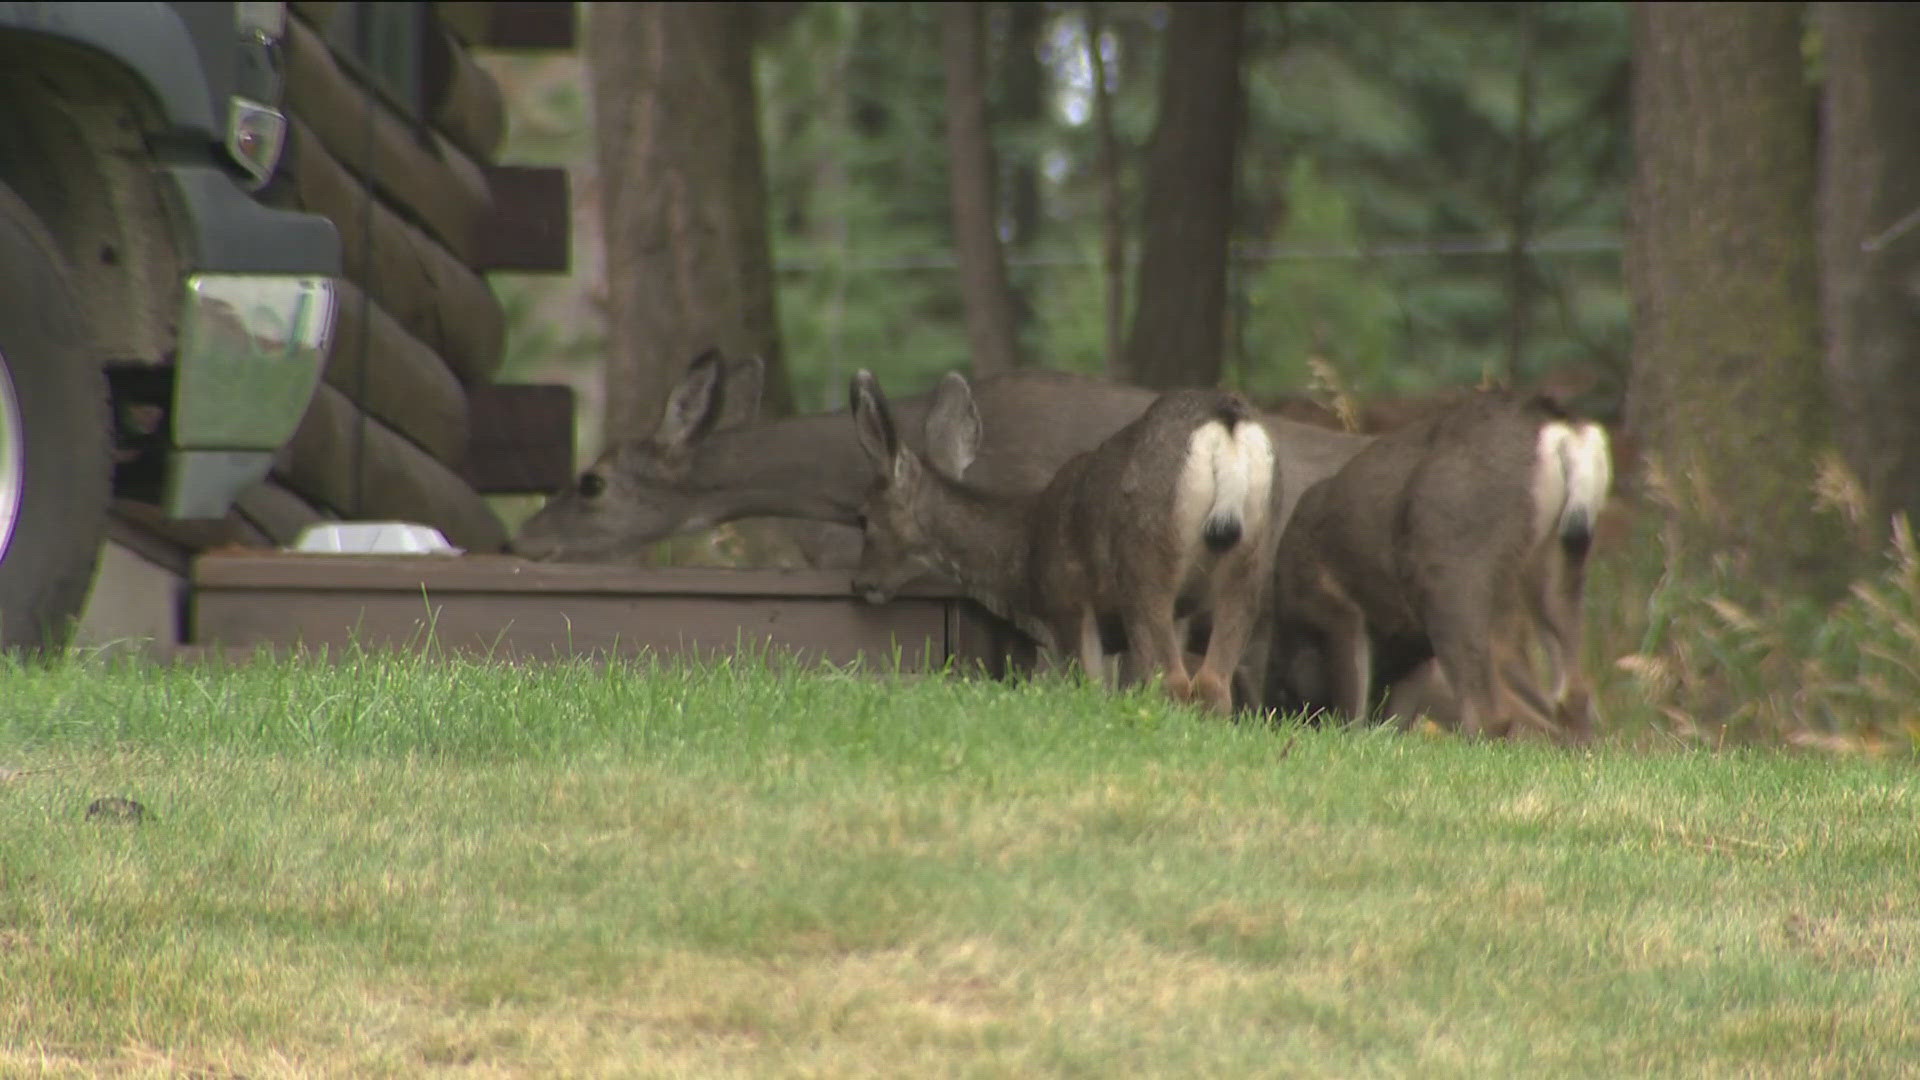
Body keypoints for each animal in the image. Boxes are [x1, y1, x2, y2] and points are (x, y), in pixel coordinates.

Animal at [852, 365, 1274, 711]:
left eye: (864, 518)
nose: (861, 583)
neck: (1023, 552)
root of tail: (1225, 417)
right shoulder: (1170, 616)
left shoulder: (1069, 603)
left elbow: (1091, 688)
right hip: (1251, 555)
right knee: (1213, 684)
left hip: (1146, 563)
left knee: (1173, 681)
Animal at [1267, 388, 1612, 737]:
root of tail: (1561, 430)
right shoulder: (1413, 646)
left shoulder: (1335, 606)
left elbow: (1354, 707)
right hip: (1558, 557)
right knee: (1571, 693)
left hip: (1454, 569)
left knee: (1490, 712)